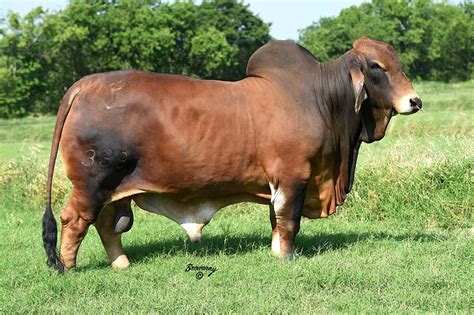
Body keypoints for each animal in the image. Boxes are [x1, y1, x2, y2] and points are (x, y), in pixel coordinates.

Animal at [43, 38, 422, 272]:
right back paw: (69, 268)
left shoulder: (277, 182)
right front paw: (286, 258)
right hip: (93, 182)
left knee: (106, 224)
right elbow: (289, 221)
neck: (323, 98)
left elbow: (275, 219)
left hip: (113, 189)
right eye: (376, 66)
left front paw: (275, 252)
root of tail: (85, 84)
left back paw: (121, 264)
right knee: (75, 220)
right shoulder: (294, 176)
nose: (415, 101)